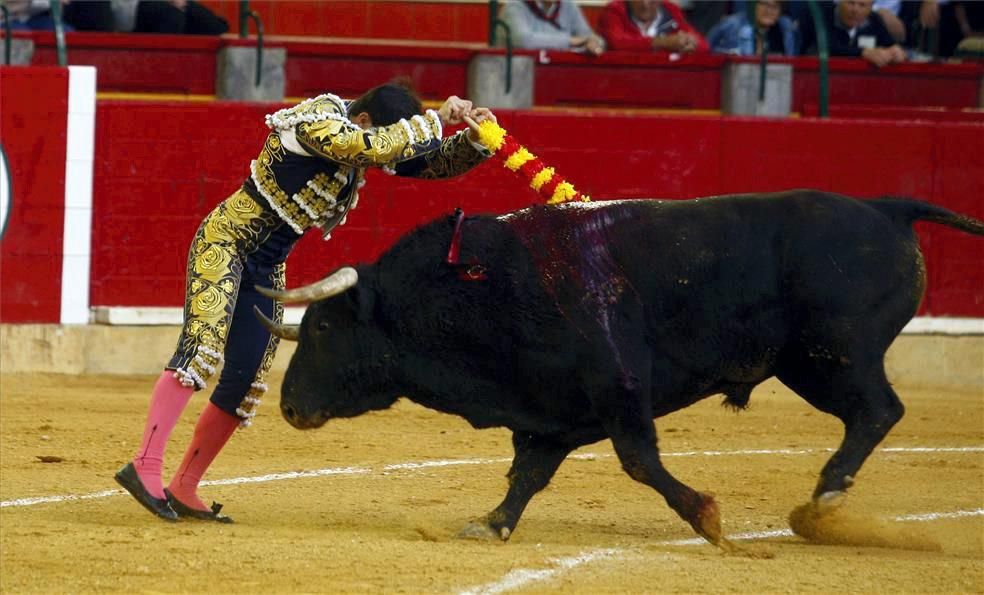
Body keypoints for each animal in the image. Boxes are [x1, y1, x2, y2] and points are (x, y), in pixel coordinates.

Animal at [256, 191, 984, 548]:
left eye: (322, 328)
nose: (288, 407)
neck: (480, 284)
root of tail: (886, 208)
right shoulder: (548, 414)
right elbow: (526, 474)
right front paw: (490, 524)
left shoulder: (620, 387)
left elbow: (639, 461)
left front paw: (708, 519)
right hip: (817, 363)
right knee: (875, 412)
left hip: (831, 355)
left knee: (878, 409)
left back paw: (824, 500)